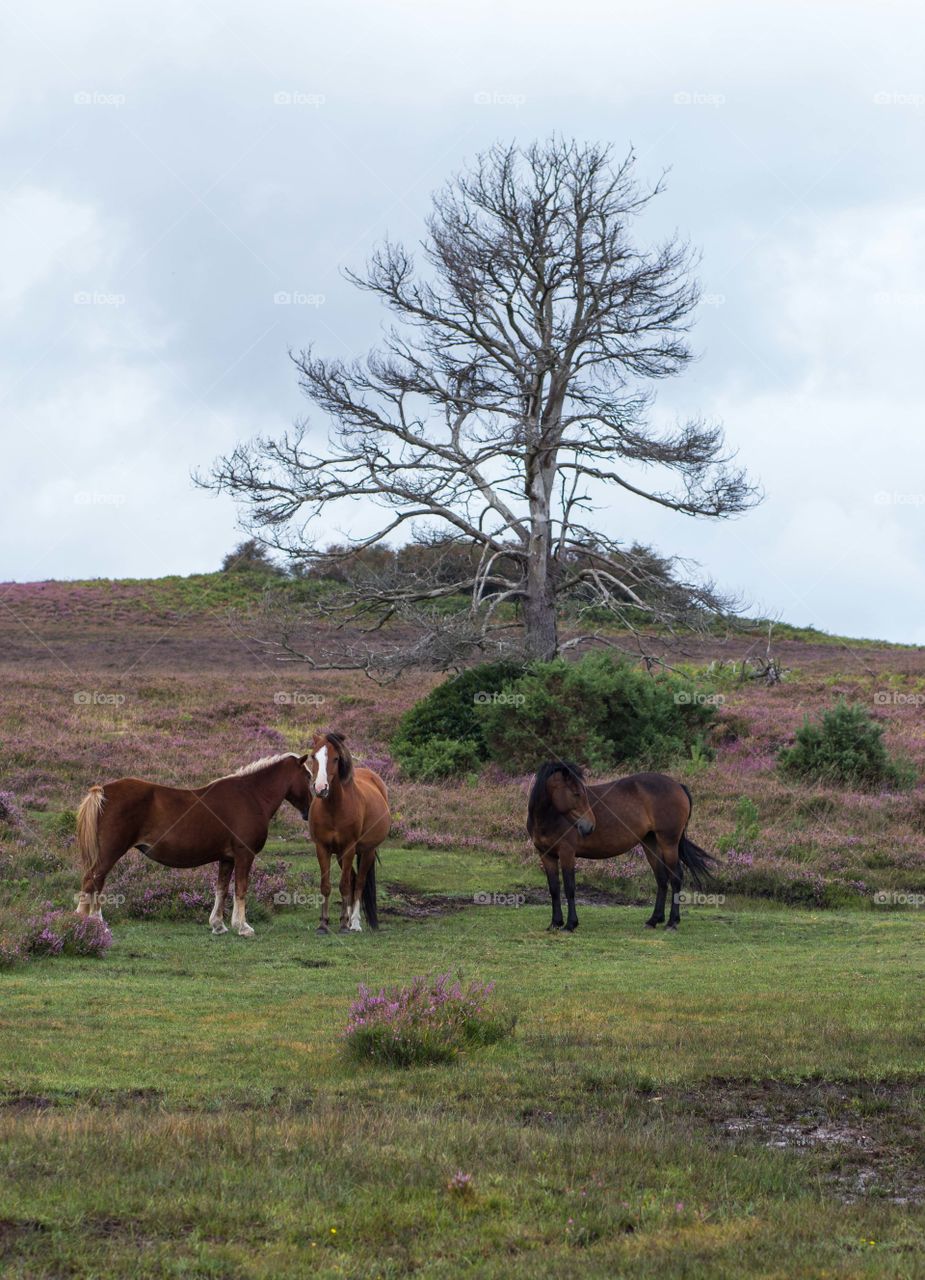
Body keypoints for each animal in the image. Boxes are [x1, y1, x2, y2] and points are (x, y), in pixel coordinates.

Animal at [74, 747, 313, 942]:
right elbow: (241, 888)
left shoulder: (227, 858)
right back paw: (95, 924)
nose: (309, 811)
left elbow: (221, 888)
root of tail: (102, 791)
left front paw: (218, 925)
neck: (251, 795)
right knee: (93, 881)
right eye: (308, 777)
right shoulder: (244, 854)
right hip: (110, 853)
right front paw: (243, 927)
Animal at [305, 737, 388, 936]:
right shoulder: (323, 849)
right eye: (313, 756)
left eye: (336, 758)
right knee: (352, 880)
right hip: (342, 856)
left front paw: (343, 925)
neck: (334, 808)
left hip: (367, 852)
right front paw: (324, 924)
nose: (320, 788)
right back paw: (350, 919)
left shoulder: (349, 848)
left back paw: (355, 923)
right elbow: (327, 886)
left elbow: (344, 885)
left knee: (359, 883)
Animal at [527, 757, 716, 931]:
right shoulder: (546, 855)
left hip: (669, 842)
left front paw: (570, 924)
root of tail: (678, 785)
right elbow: (554, 888)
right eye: (576, 793)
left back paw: (672, 922)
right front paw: (555, 923)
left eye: (583, 793)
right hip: (651, 843)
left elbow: (569, 888)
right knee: (662, 879)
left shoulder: (567, 853)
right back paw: (654, 920)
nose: (589, 826)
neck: (550, 817)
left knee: (675, 877)